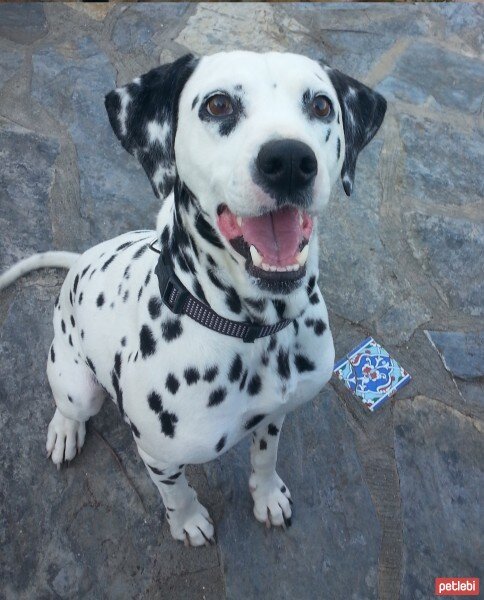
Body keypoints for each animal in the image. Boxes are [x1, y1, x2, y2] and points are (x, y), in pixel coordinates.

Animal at [0, 54, 386, 548]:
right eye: (218, 104)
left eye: (320, 105)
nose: (289, 160)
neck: (254, 329)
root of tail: (79, 262)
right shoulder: (157, 454)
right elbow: (177, 492)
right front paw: (188, 523)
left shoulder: (273, 416)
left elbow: (265, 458)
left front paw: (267, 496)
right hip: (76, 383)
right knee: (70, 404)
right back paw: (65, 428)